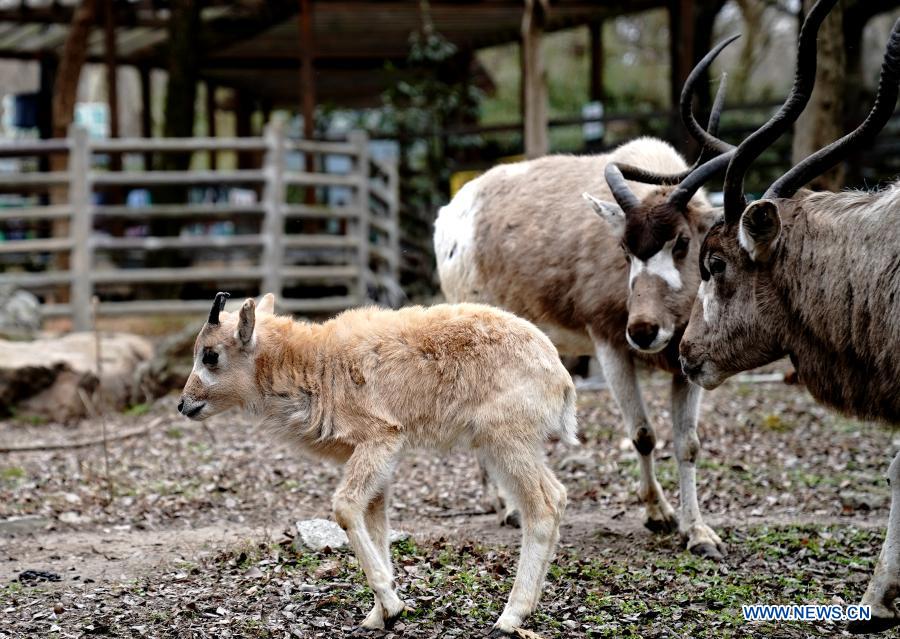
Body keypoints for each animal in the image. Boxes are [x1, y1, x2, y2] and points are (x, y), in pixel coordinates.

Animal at [179, 294, 572, 636]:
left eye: (210, 356)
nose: (184, 404)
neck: (314, 364)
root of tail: (559, 374)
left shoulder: (381, 440)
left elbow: (345, 507)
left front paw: (392, 605)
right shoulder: (377, 457)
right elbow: (376, 523)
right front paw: (378, 615)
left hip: (507, 443)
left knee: (543, 507)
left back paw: (510, 617)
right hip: (512, 447)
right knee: (558, 496)